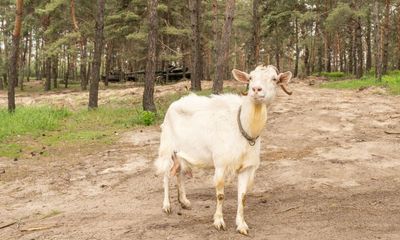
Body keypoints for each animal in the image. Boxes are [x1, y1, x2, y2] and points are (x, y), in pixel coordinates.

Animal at [155, 64, 292, 235]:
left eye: (274, 79)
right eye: (251, 77)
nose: (256, 89)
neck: (241, 126)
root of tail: (173, 105)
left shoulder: (247, 167)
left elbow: (243, 197)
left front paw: (241, 225)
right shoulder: (220, 164)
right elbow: (220, 195)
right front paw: (219, 222)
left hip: (181, 153)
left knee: (179, 172)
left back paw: (184, 202)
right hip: (167, 148)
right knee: (166, 175)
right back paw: (166, 206)